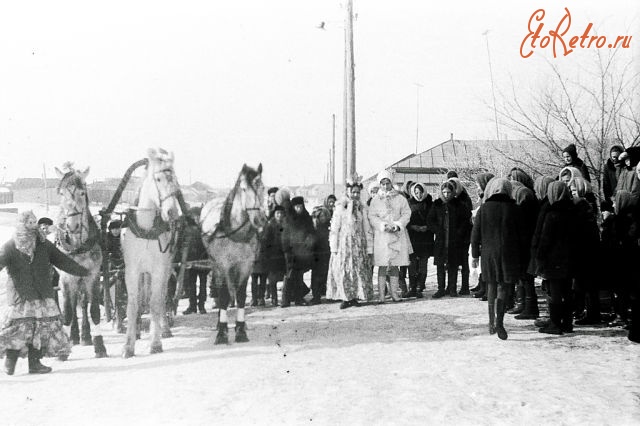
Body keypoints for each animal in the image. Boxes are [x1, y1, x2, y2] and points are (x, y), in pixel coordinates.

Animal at [55, 165, 106, 358]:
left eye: (82, 193)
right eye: (61, 193)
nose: (72, 226)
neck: (77, 246)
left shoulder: (93, 275)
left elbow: (94, 311)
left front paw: (100, 346)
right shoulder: (65, 278)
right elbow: (67, 312)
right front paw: (63, 350)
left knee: (83, 303)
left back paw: (85, 335)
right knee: (73, 302)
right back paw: (75, 336)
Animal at [120, 148, 181, 358]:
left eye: (175, 180)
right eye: (159, 179)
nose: (172, 213)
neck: (146, 229)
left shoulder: (159, 270)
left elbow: (155, 303)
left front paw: (155, 343)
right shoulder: (131, 271)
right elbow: (132, 306)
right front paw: (128, 346)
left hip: (165, 269)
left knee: (162, 298)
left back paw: (164, 329)